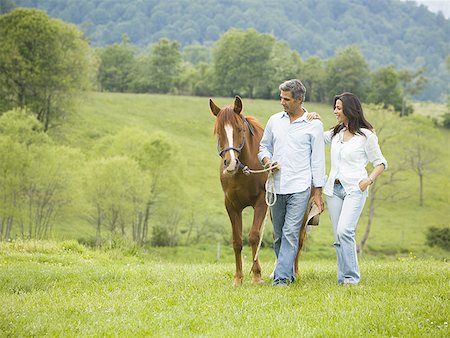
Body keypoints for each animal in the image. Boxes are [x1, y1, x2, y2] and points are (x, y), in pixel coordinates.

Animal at [208, 96, 312, 286]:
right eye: (218, 131)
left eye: (240, 129)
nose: (231, 163)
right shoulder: (231, 206)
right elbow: (237, 241)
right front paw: (238, 278)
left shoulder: (261, 203)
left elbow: (254, 236)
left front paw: (256, 276)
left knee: (298, 239)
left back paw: (294, 272)